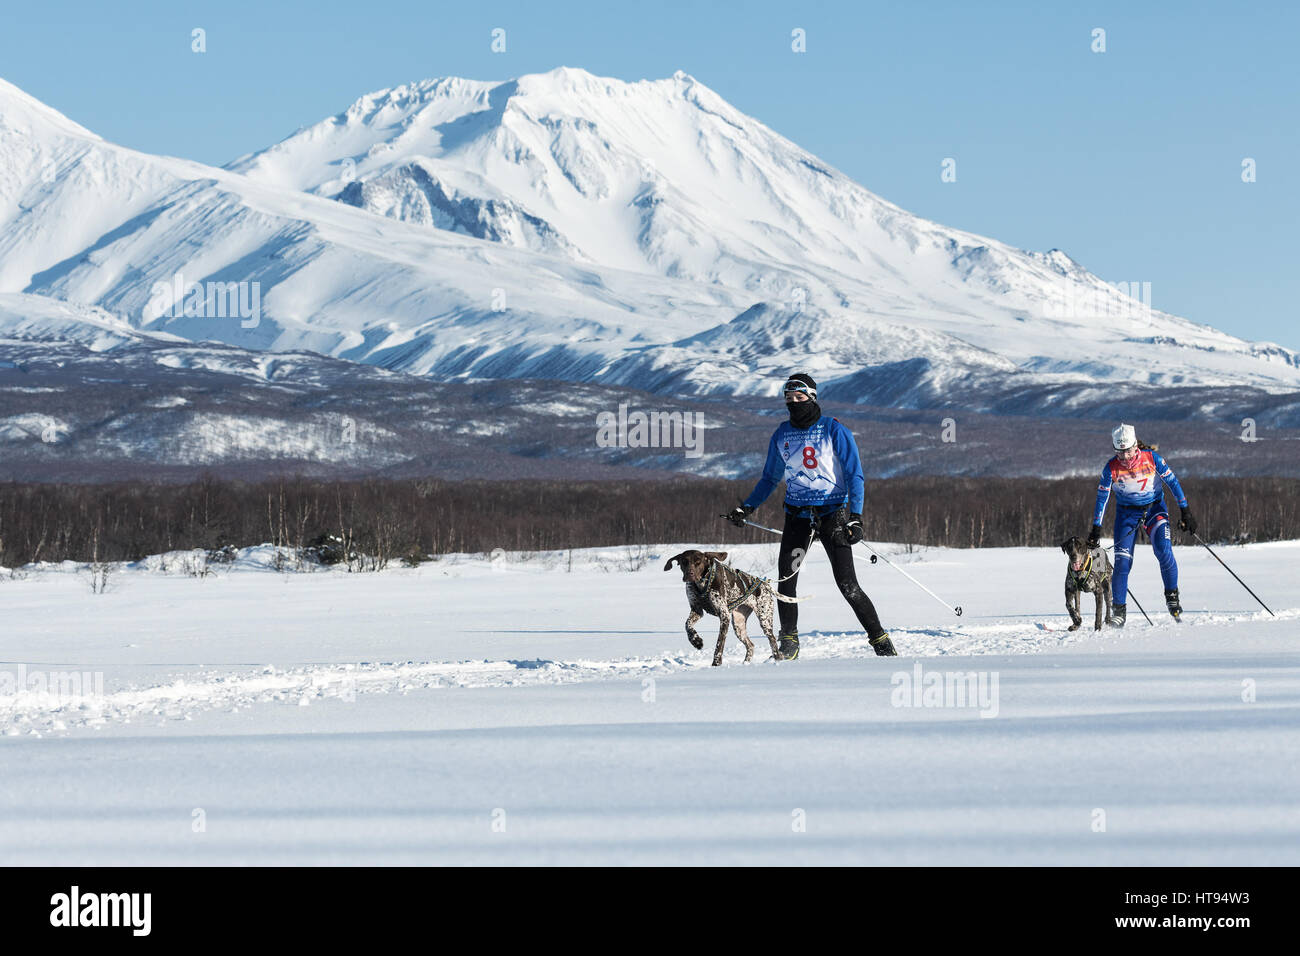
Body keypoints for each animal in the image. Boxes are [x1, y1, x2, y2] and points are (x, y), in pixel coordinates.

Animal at [670, 548, 800, 671]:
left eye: (698, 562)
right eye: (684, 562)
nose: (689, 574)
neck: (702, 584)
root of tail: (763, 583)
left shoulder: (724, 616)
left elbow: (719, 644)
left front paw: (716, 664)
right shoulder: (697, 610)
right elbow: (687, 625)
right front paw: (696, 641)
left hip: (764, 620)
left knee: (773, 642)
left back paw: (777, 659)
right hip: (738, 626)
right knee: (751, 645)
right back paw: (745, 663)